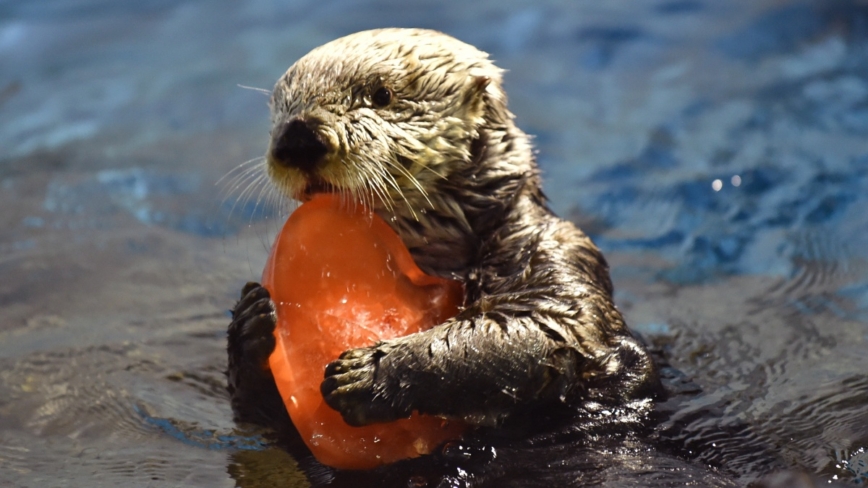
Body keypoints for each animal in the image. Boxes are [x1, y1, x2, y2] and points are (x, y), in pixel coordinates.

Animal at [227, 25, 660, 446]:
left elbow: (536, 331)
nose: (298, 137)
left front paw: (367, 373)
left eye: (382, 95)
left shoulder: (554, 249)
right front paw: (250, 320)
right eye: (281, 109)